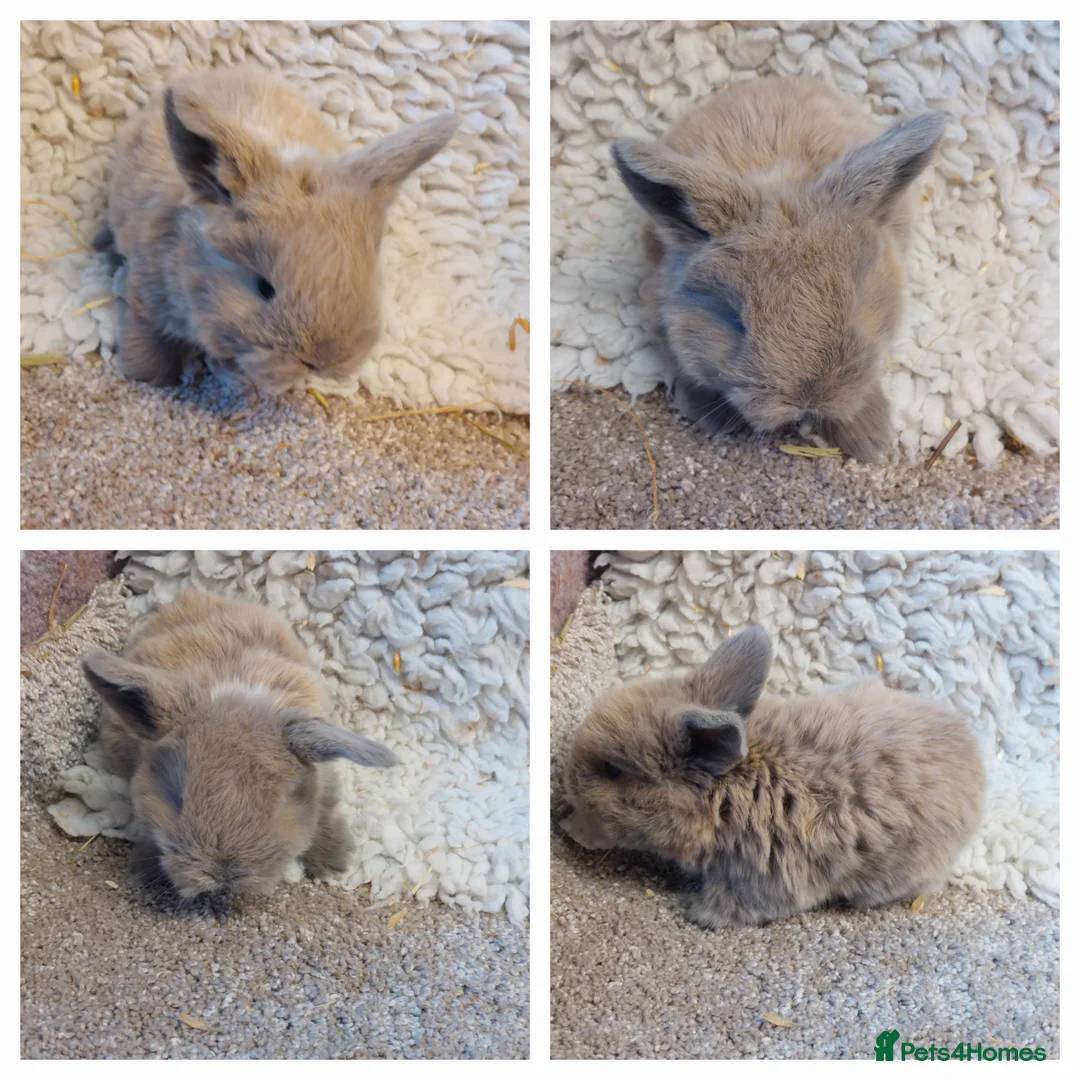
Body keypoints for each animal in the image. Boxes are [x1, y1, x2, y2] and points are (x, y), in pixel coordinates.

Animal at [81, 589, 397, 900]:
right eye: (176, 798)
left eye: (280, 803)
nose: (223, 876)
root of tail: (193, 594)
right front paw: (141, 871)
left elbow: (325, 810)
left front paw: (336, 860)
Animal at [96, 67, 459, 394]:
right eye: (264, 288)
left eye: (369, 279)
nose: (320, 363)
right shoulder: (148, 297)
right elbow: (148, 336)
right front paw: (147, 376)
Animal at [561, 626, 985, 929]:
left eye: (612, 770)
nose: (564, 823)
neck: (727, 788)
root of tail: (977, 762)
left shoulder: (766, 879)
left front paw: (695, 910)